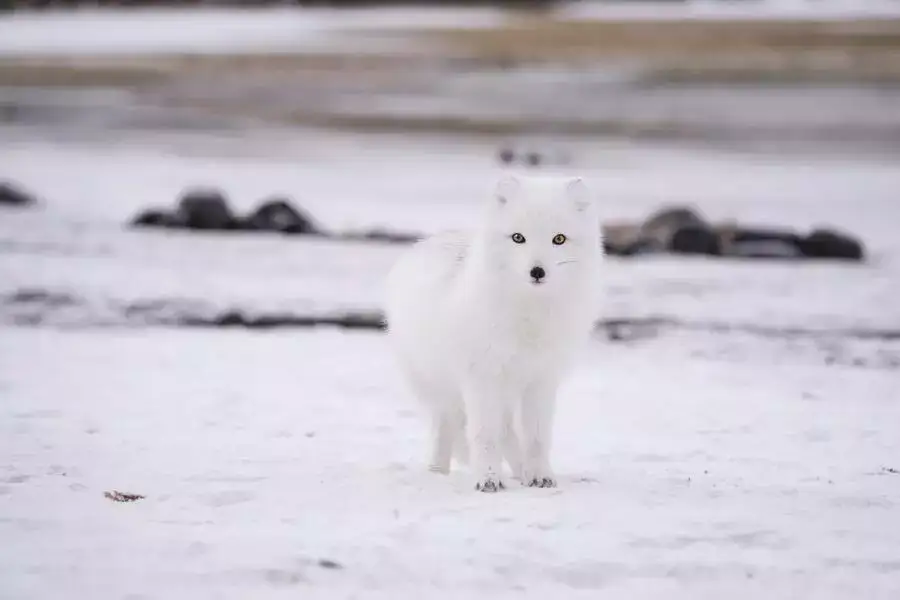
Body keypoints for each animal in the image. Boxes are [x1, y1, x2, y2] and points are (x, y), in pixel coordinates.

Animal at [384, 173, 600, 492]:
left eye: (558, 239)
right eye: (518, 237)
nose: (537, 272)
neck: (528, 318)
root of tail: (427, 242)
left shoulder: (542, 380)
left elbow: (537, 437)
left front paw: (540, 476)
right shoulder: (481, 377)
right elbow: (485, 435)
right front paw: (487, 479)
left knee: (508, 432)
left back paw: (521, 472)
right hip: (441, 386)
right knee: (448, 426)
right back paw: (438, 472)